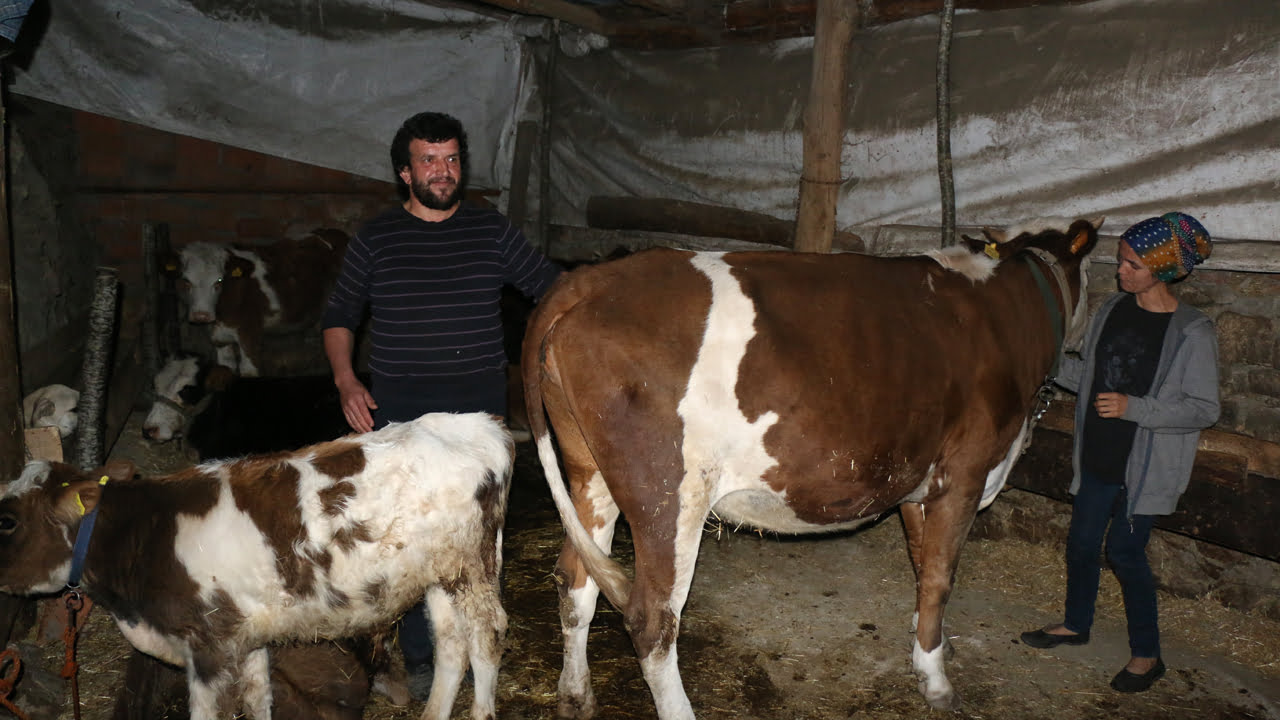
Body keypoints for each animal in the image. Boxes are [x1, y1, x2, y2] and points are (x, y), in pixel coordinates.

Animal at [1, 409, 509, 717]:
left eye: (6, 520)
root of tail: (475, 425)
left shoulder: (208, 646)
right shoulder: (245, 638)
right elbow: (259, 698)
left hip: (474, 568)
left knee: (485, 640)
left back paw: (482, 710)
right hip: (439, 574)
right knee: (451, 644)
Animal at [172, 228, 350, 376]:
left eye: (219, 280)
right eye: (186, 281)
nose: (201, 315)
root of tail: (335, 233)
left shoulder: (249, 335)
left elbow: (248, 371)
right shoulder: (219, 339)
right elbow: (225, 369)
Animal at [519, 220, 1100, 717]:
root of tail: (587, 279)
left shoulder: (918, 482)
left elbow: (921, 563)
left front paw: (930, 644)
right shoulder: (966, 471)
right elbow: (939, 575)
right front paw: (936, 681)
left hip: (589, 473)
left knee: (575, 581)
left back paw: (575, 695)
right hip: (668, 495)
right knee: (651, 620)